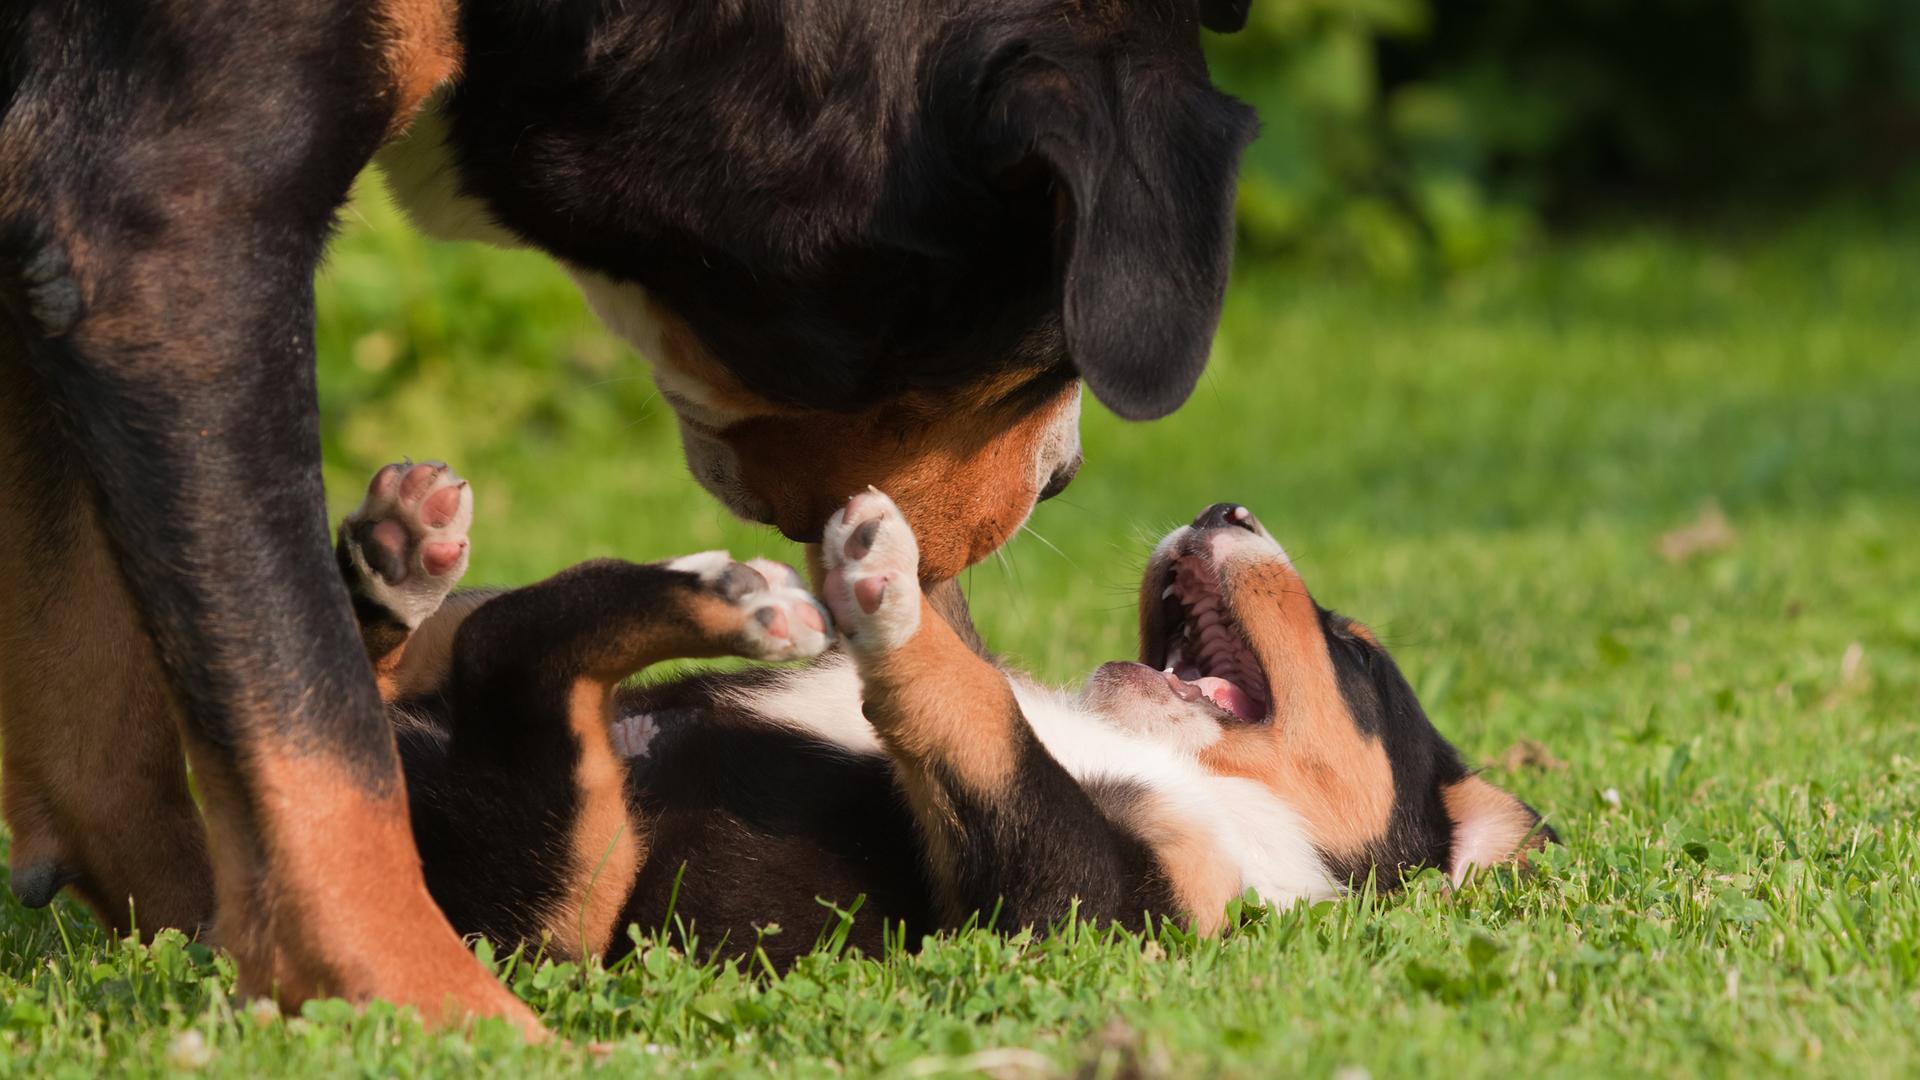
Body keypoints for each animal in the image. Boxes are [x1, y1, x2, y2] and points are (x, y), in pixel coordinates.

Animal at [0, 0, 1259, 1022]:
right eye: (1043, 345)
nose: (1065, 477)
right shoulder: (173, 228)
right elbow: (311, 743)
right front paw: (428, 1013)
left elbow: (110, 733)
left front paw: (204, 949)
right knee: (496, 669)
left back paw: (432, 566)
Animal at [337, 457, 1551, 960]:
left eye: (1356, 650)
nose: (1225, 509)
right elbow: (997, 696)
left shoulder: (1078, 909)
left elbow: (990, 724)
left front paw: (894, 594)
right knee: (452, 651)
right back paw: (401, 557)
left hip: (566, 890)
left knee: (517, 665)